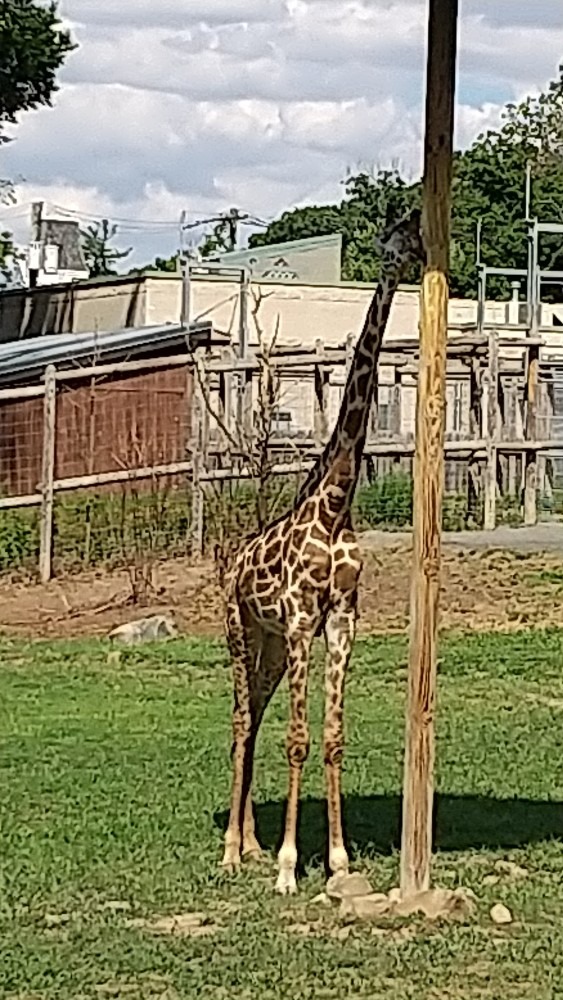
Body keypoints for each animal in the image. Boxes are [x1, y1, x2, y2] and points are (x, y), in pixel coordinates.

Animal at [220, 207, 424, 896]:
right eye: (396, 238)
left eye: (415, 235)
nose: (415, 259)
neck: (335, 503)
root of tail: (229, 564)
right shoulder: (302, 618)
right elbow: (298, 739)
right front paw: (289, 867)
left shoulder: (341, 619)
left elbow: (331, 737)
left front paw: (336, 860)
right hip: (240, 630)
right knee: (241, 723)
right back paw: (233, 853)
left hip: (270, 646)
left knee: (254, 718)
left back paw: (251, 845)